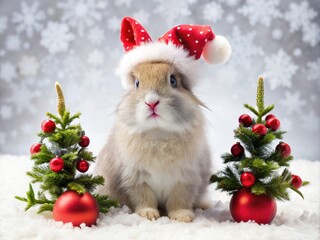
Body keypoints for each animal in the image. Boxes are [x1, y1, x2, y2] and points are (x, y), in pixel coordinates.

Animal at [95, 60, 212, 223]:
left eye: (173, 80)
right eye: (137, 83)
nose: (151, 102)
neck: (158, 132)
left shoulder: (186, 178)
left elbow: (180, 199)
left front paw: (182, 216)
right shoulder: (135, 178)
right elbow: (144, 198)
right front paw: (148, 215)